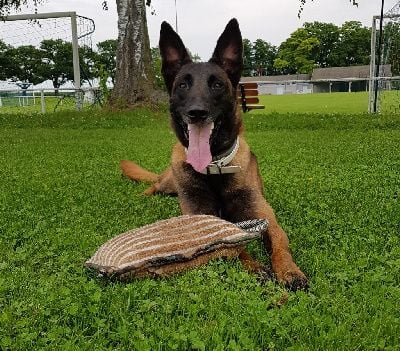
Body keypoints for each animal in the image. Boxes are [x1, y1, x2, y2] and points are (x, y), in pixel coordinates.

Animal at [120, 18, 308, 292]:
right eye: (183, 85)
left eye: (217, 84)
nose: (197, 113)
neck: (215, 168)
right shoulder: (201, 220)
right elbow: (231, 247)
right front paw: (254, 267)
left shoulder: (265, 216)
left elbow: (279, 242)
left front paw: (289, 271)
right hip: (169, 182)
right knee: (154, 184)